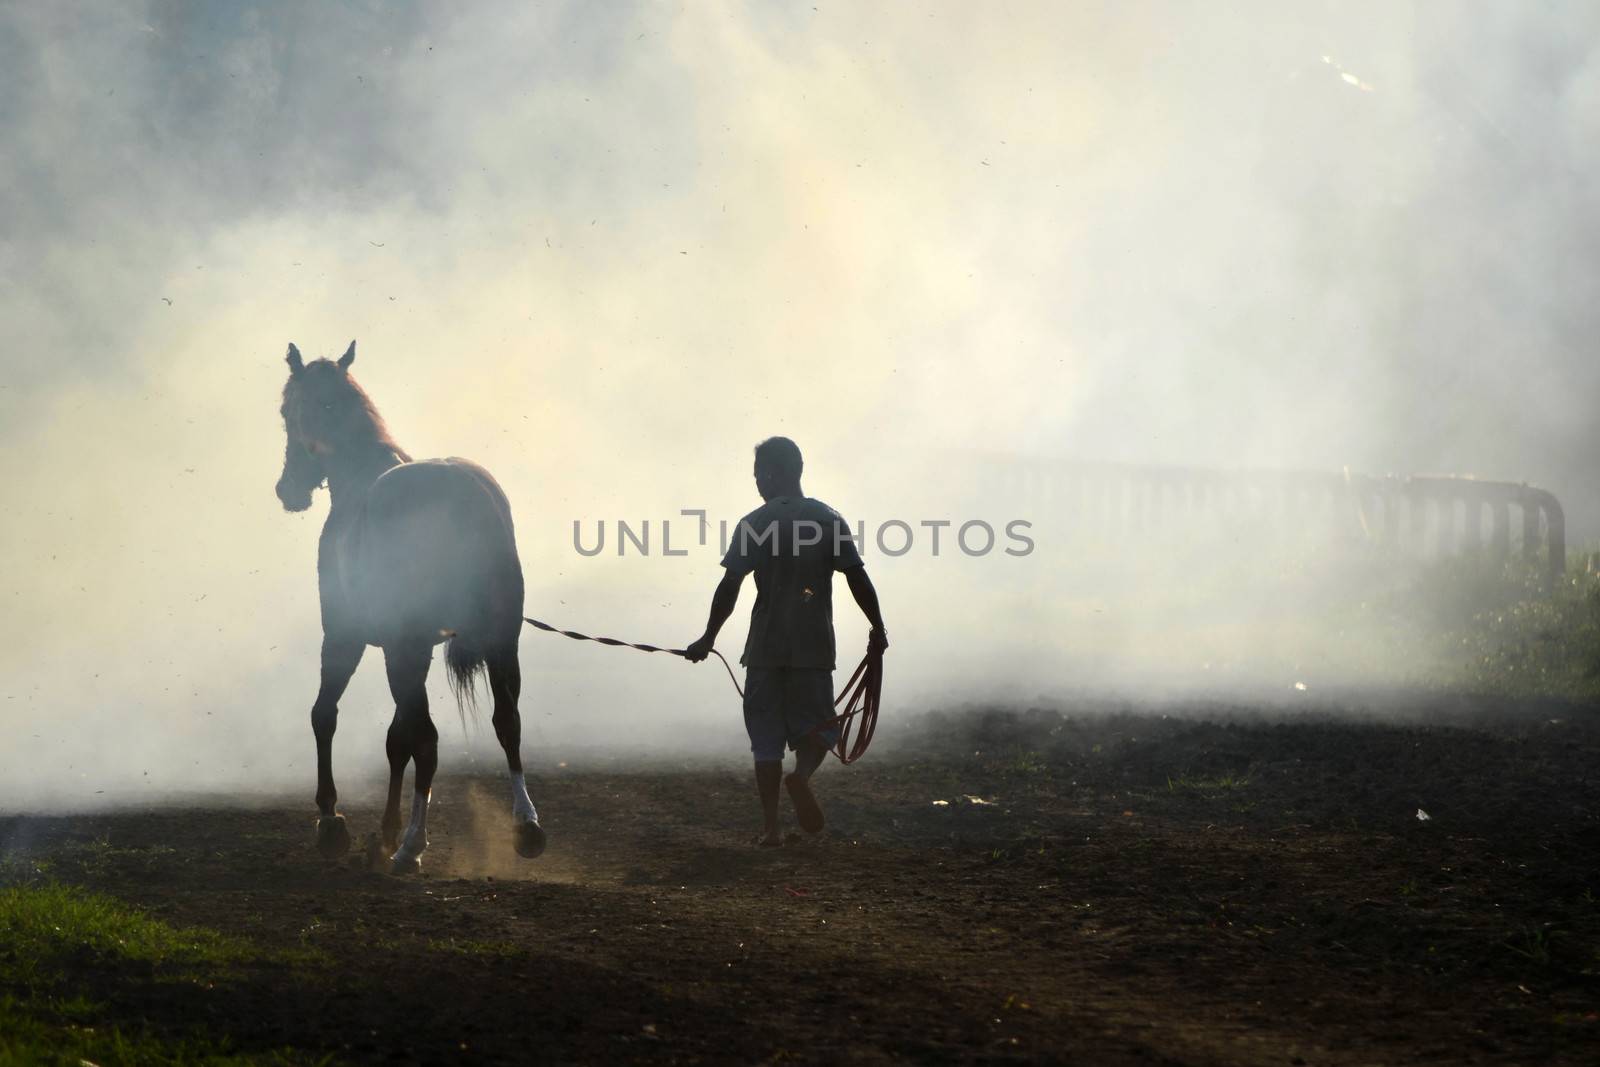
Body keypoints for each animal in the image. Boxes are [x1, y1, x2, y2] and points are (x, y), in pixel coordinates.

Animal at [273, 342, 544, 876]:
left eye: (286, 412)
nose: (286, 490)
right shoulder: (411, 651)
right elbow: (397, 739)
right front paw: (382, 832)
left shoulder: (348, 638)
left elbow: (326, 715)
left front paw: (332, 821)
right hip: (502, 643)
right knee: (507, 723)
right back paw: (525, 826)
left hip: (404, 648)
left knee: (429, 738)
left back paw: (413, 845)